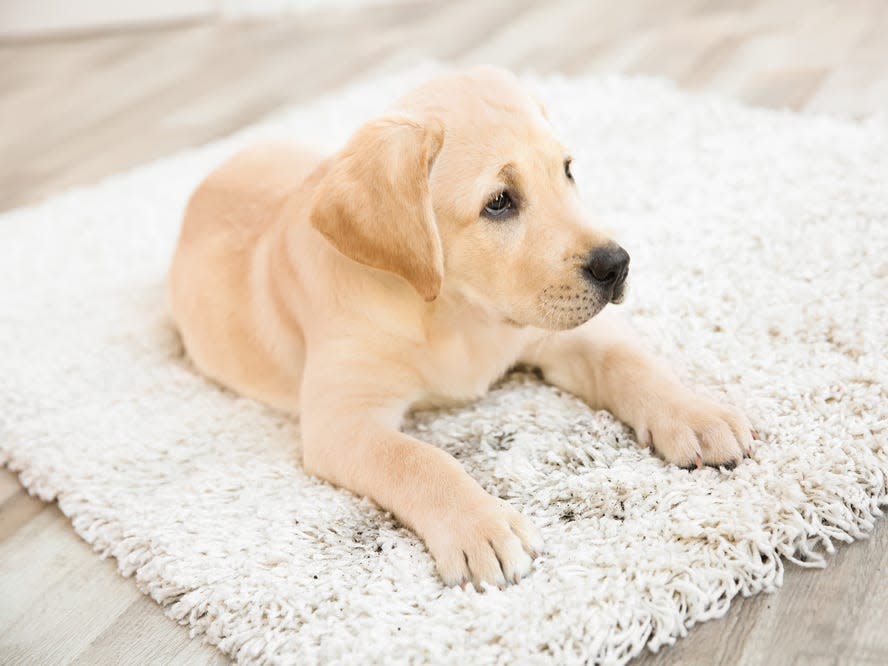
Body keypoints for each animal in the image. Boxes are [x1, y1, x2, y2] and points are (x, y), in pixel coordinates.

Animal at [168, 66, 756, 588]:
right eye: (499, 202)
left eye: (567, 169)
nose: (617, 265)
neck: (454, 311)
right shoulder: (342, 421)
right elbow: (418, 458)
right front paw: (482, 527)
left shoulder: (561, 333)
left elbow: (628, 361)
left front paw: (695, 414)